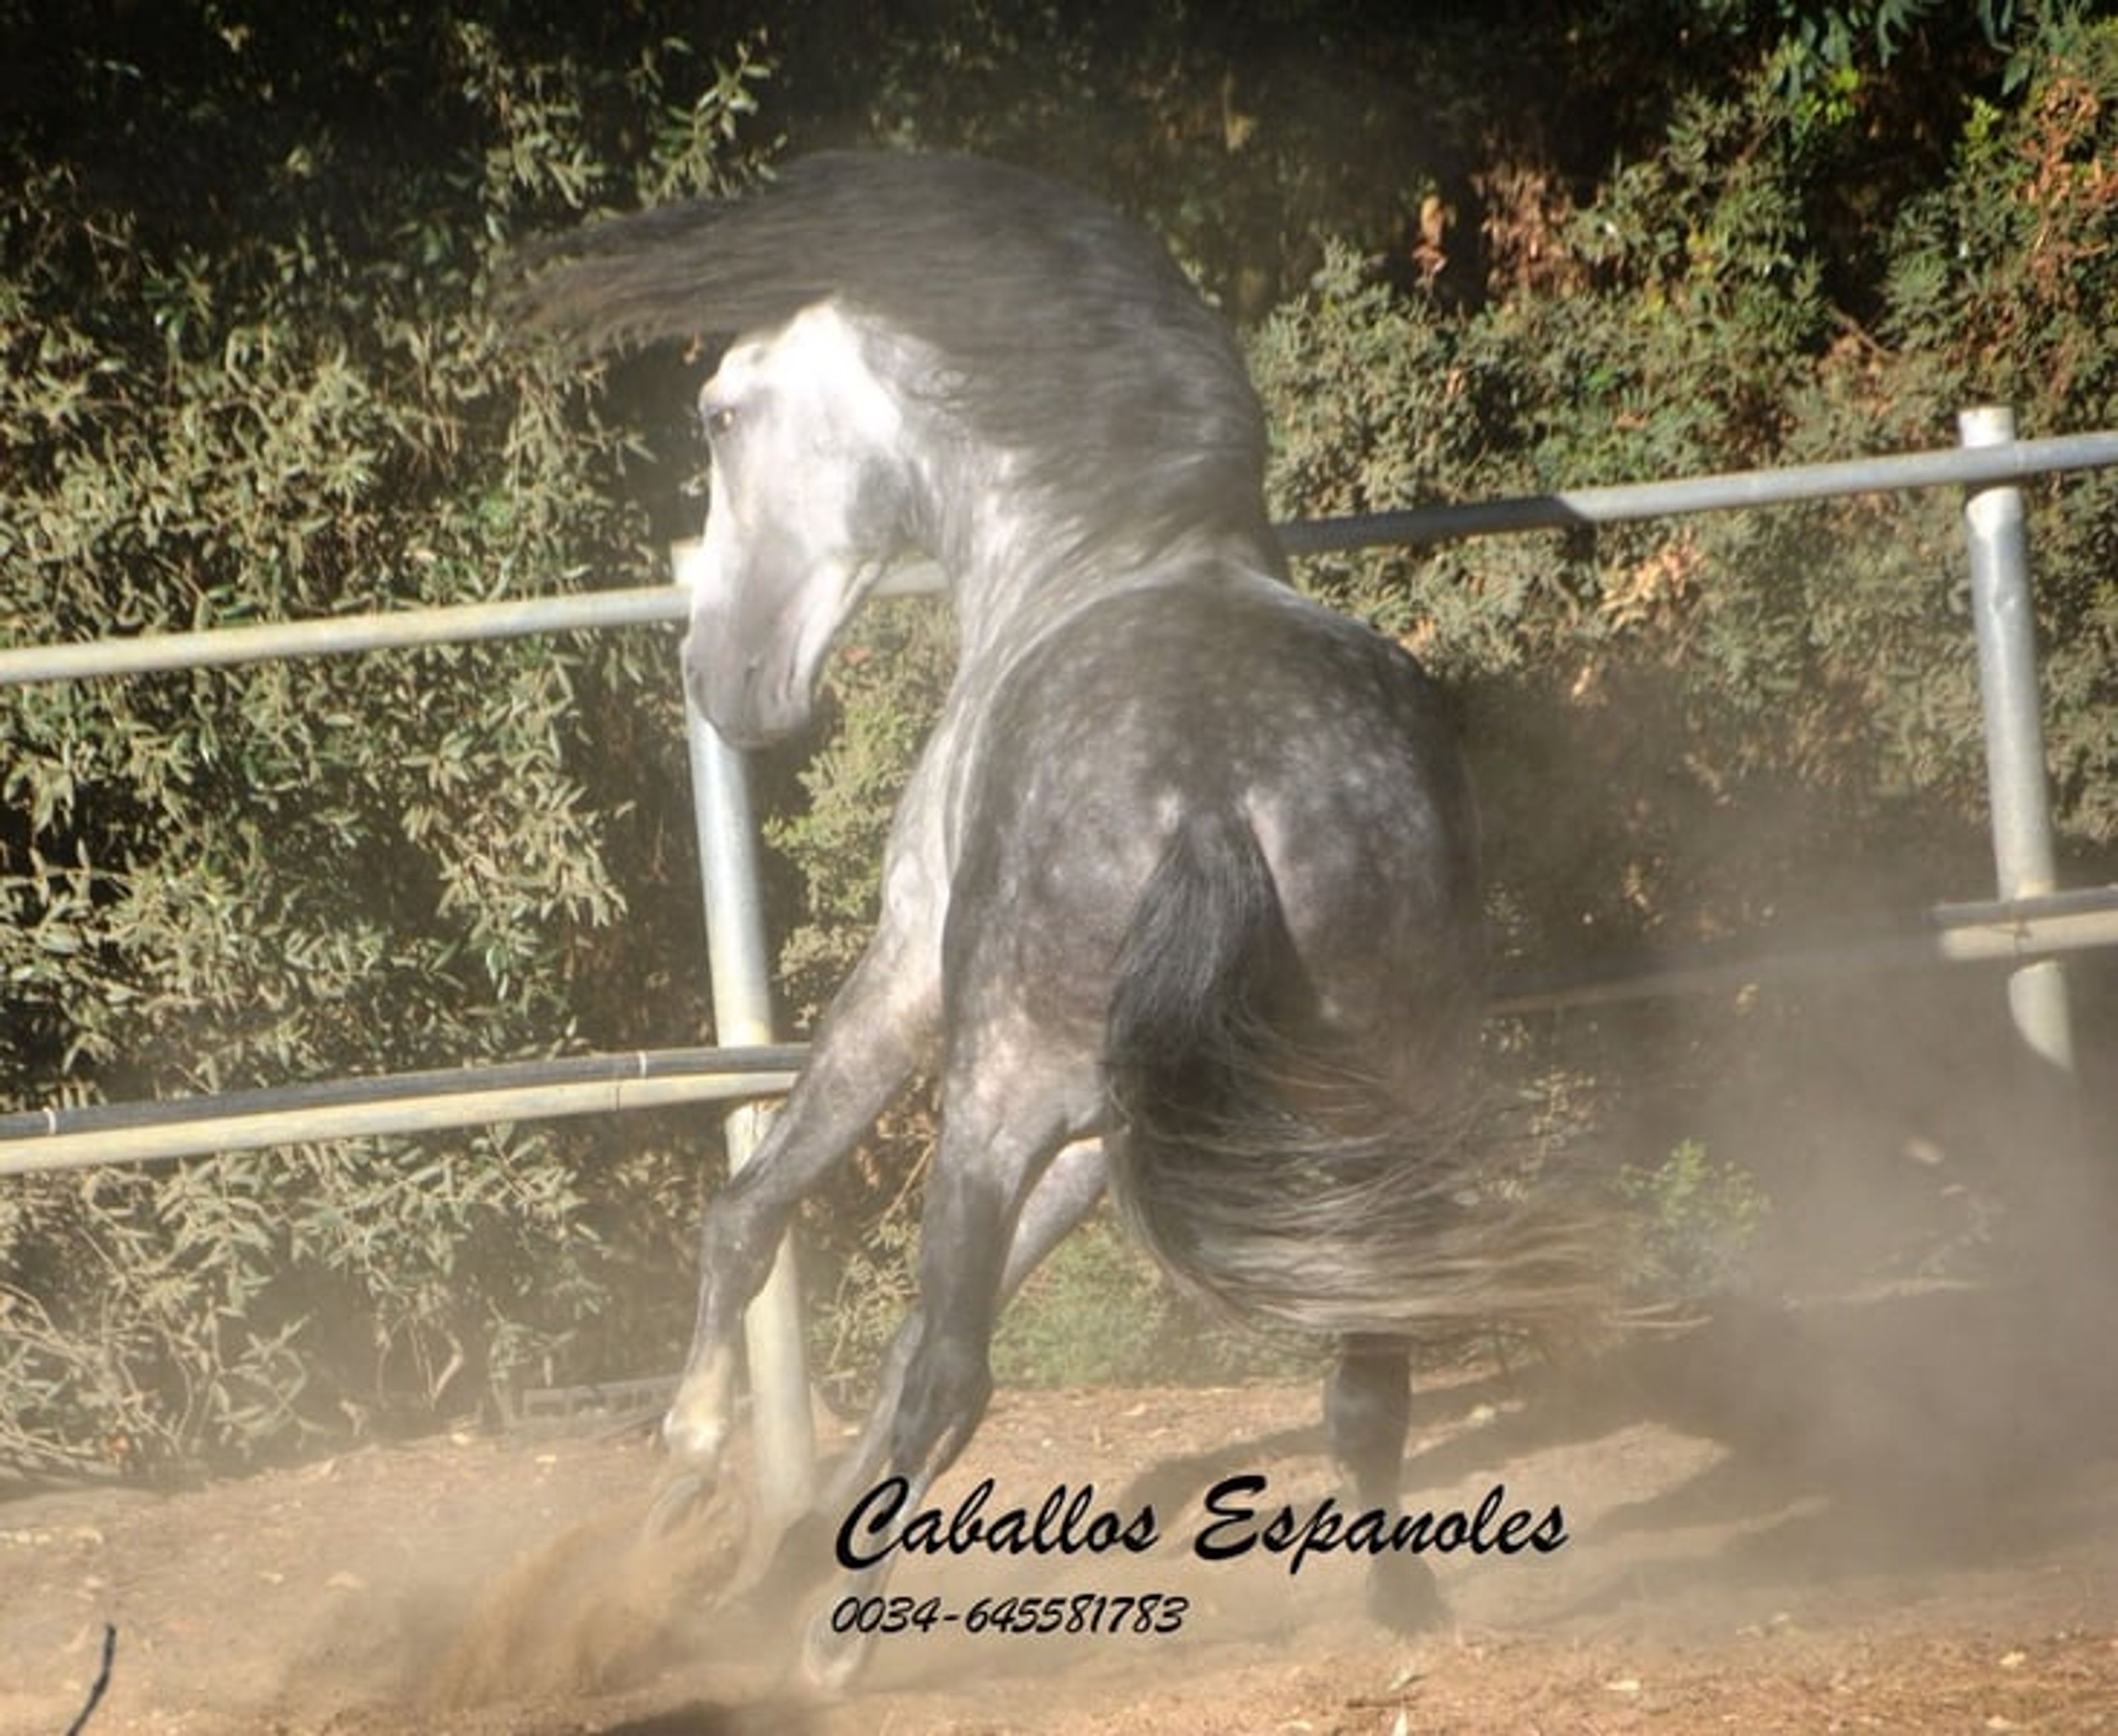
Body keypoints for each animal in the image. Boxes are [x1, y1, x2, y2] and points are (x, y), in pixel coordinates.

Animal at [514, 151, 1600, 1687]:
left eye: (722, 412)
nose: (725, 680)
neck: (1102, 544)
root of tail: (1218, 786)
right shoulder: (1106, 1131)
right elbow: (903, 1325)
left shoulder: (914, 977)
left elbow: (761, 1209)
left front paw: (693, 1468)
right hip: (1367, 1103)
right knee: (1367, 1365)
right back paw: (1401, 1617)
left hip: (993, 1091)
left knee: (961, 1371)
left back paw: (832, 1653)